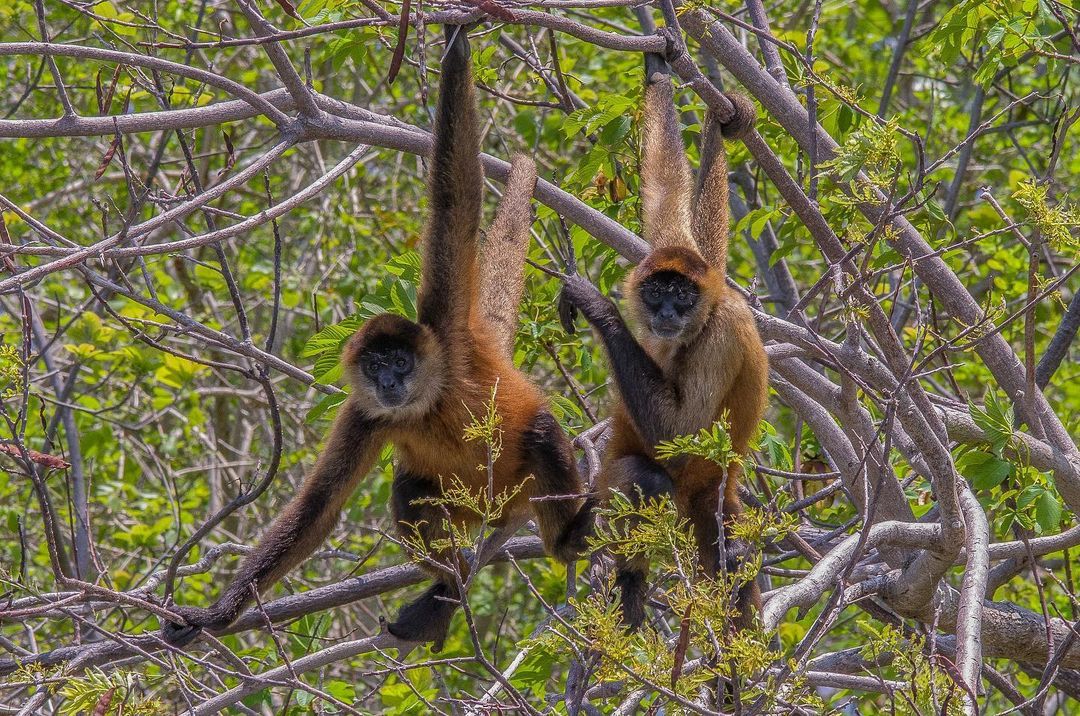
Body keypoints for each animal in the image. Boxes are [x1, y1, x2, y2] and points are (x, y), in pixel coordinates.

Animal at [162, 25, 591, 652]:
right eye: (376, 367)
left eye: (401, 362)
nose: (389, 381)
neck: (428, 400)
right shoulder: (366, 415)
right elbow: (319, 507)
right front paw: (216, 614)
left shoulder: (446, 331)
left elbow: (456, 200)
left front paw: (457, 43)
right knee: (408, 492)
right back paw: (448, 587)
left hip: (517, 483)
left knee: (538, 431)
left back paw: (565, 541)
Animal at [557, 29, 768, 635]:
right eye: (657, 293)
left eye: (683, 297)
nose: (669, 313)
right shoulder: (691, 257)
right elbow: (667, 190)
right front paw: (659, 68)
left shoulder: (721, 329)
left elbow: (680, 434)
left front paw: (598, 306)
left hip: (692, 490)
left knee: (647, 476)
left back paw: (631, 586)